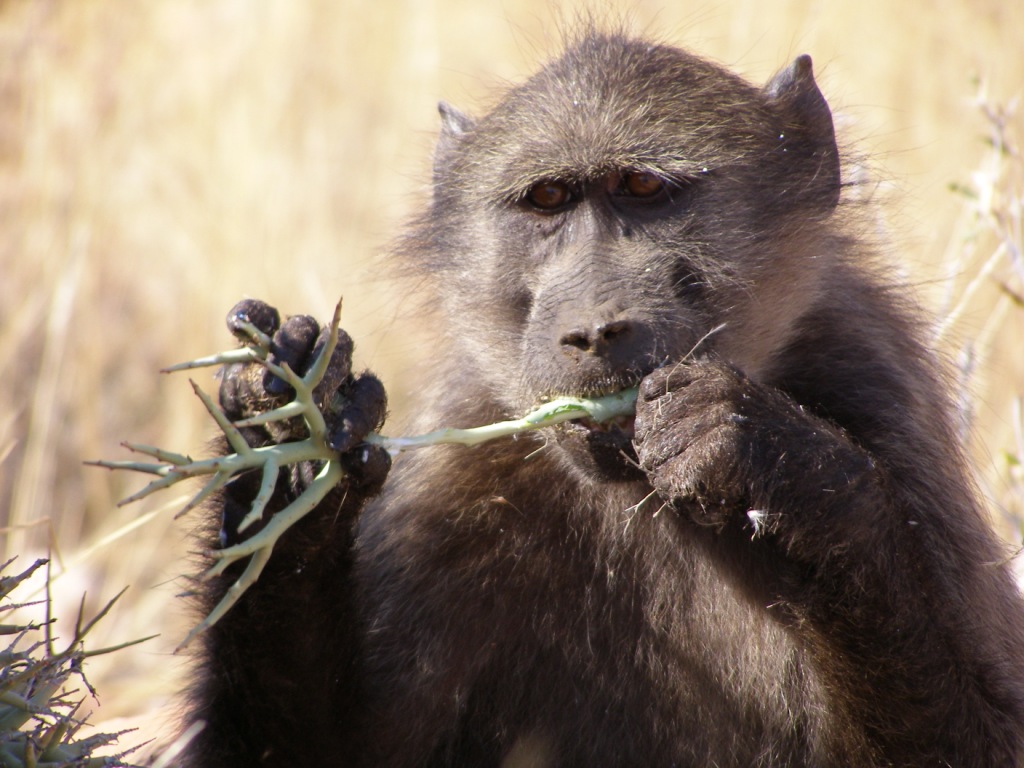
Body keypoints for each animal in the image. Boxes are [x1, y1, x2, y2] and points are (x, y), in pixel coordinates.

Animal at [181, 30, 1024, 767]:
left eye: (643, 190)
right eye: (548, 200)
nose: (593, 330)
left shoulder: (875, 387)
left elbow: (980, 738)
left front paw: (761, 451)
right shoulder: (466, 459)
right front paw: (291, 431)